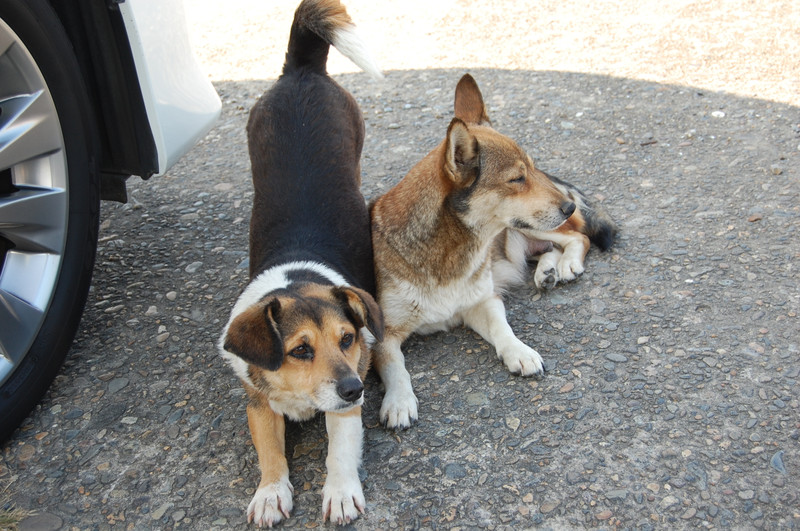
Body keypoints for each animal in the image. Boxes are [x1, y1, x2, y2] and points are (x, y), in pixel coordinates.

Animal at [217, 0, 382, 524]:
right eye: (300, 350)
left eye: (347, 339)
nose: (355, 388)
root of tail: (302, 70)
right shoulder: (257, 402)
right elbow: (269, 451)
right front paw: (270, 491)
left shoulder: (346, 407)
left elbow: (339, 452)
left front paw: (341, 491)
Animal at [372, 75, 616, 430]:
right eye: (516, 179)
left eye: (530, 170)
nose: (569, 206)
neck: (449, 249)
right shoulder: (382, 334)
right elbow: (396, 367)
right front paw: (400, 401)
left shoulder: (483, 303)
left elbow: (504, 329)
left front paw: (520, 352)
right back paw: (547, 271)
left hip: (531, 227)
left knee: (576, 237)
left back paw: (566, 265)